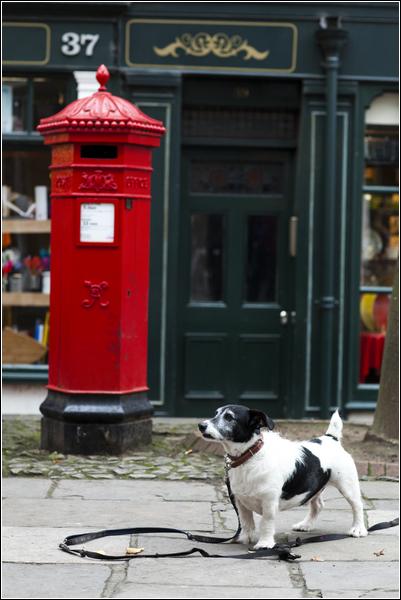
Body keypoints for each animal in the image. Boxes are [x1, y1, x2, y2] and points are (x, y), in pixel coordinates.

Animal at [197, 408, 366, 548]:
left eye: (229, 417)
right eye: (216, 413)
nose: (201, 425)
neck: (250, 456)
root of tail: (331, 438)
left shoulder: (269, 502)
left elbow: (266, 522)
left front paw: (264, 544)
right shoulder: (241, 501)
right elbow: (246, 522)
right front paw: (245, 538)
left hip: (347, 485)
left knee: (357, 506)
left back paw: (358, 529)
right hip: (315, 487)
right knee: (318, 505)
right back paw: (306, 525)